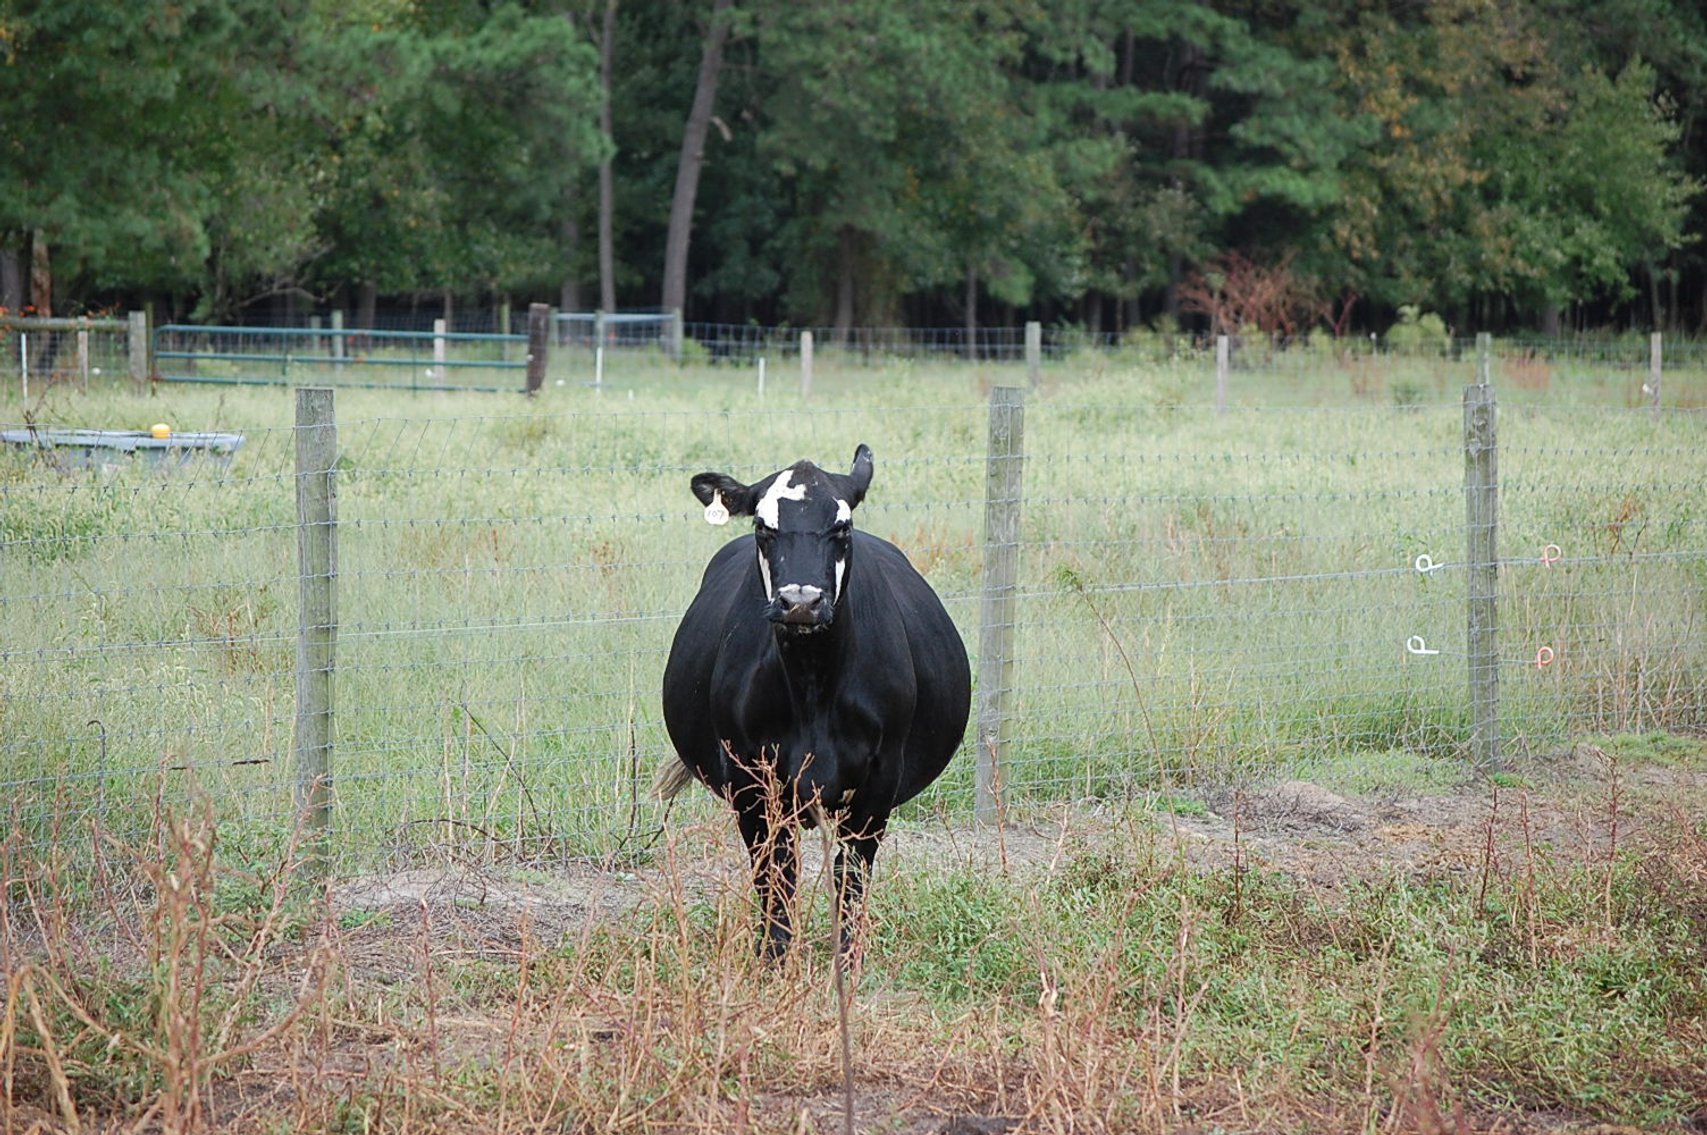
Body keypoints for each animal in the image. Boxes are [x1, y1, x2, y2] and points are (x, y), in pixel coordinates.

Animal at [659, 444, 971, 961]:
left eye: (841, 528)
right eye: (763, 527)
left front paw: (846, 959)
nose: (800, 602)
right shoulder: (749, 778)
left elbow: (851, 877)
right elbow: (775, 875)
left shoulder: (879, 781)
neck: (812, 685)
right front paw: (774, 958)